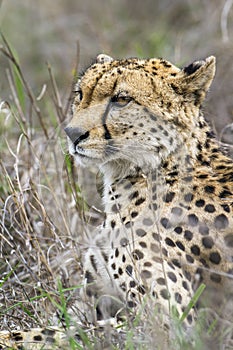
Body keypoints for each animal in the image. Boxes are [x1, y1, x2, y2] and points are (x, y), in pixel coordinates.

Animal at [0, 54, 233, 348]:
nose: (72, 133)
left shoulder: (172, 326)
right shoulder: (91, 303)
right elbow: (62, 323)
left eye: (122, 99)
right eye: (80, 94)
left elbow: (72, 333)